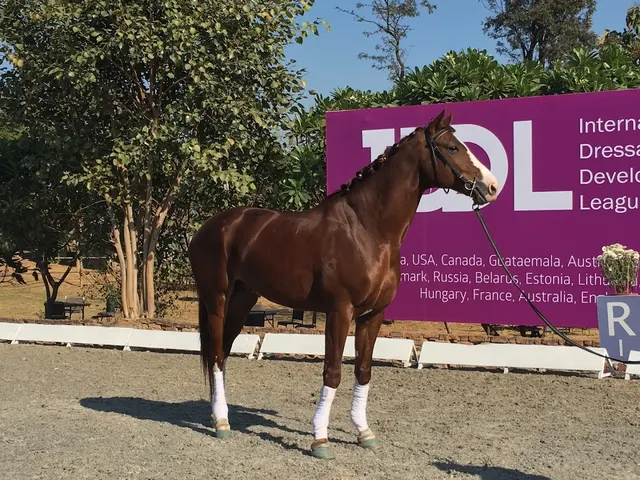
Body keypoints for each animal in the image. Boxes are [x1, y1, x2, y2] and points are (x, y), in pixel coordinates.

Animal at [187, 109, 500, 459]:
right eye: (453, 147)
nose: (492, 186)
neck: (368, 229)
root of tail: (210, 227)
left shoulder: (372, 315)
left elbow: (363, 370)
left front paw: (364, 432)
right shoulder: (340, 311)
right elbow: (333, 371)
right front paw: (320, 439)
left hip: (244, 300)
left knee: (224, 353)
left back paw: (219, 415)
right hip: (217, 298)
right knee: (216, 355)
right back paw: (221, 423)